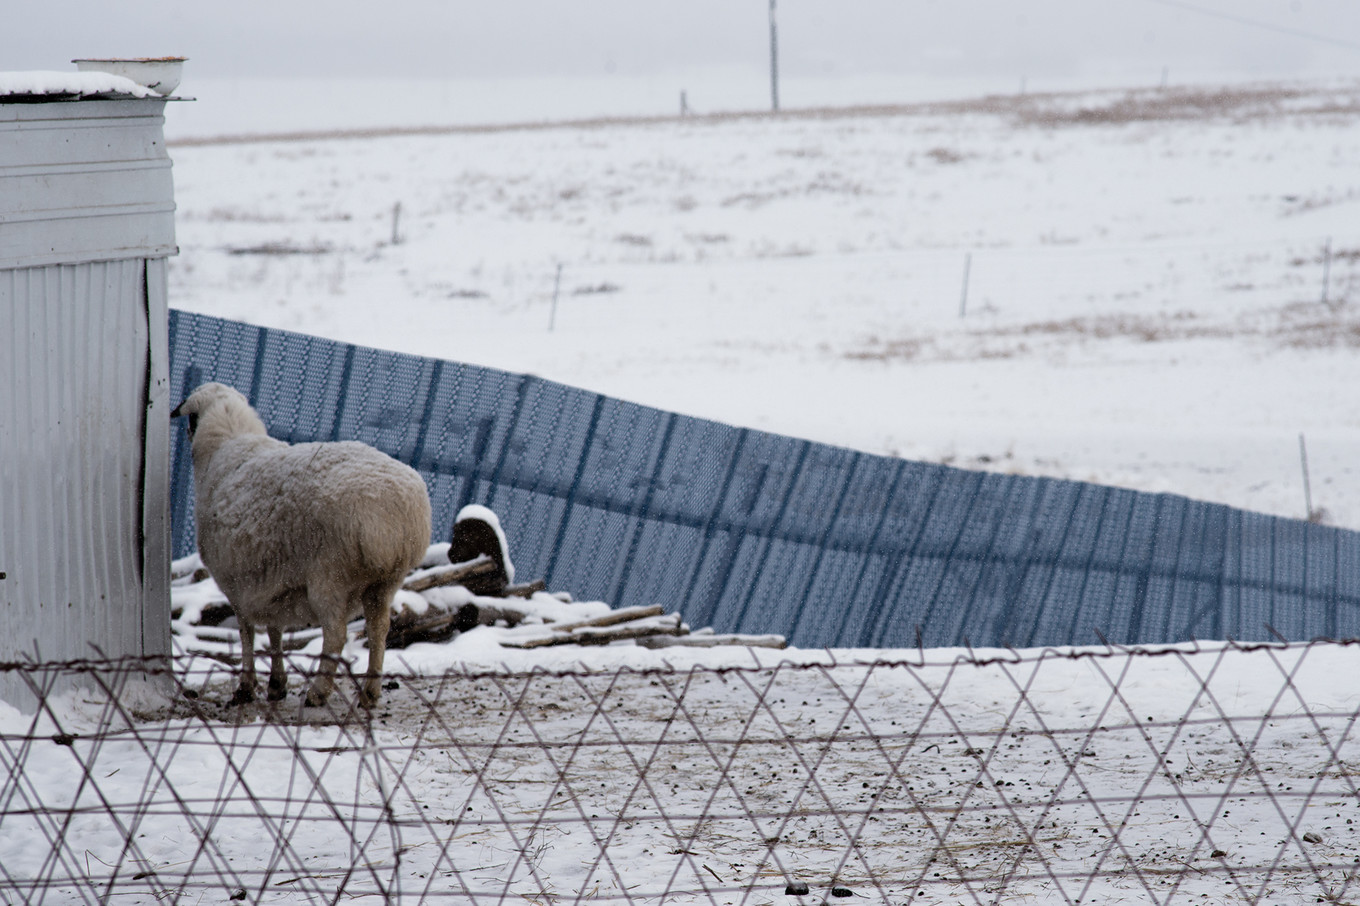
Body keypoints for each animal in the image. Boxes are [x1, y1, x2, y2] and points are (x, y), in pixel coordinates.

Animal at [172, 380, 429, 707]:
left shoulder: (236, 583)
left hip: (330, 574)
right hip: (385, 582)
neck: (226, 442)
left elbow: (247, 632)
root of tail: (393, 518)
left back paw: (318, 691)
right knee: (379, 627)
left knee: (336, 633)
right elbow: (274, 630)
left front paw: (247, 686)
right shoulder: (268, 579)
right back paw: (370, 691)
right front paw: (276, 684)